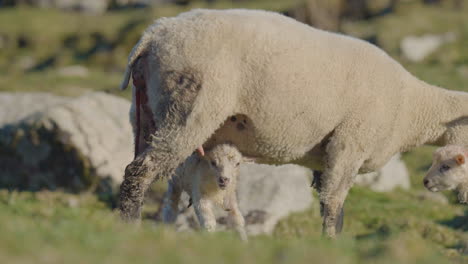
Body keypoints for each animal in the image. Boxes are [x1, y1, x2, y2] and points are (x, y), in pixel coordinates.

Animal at [118, 9, 468, 238]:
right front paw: (331, 243)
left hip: (147, 112)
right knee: (141, 171)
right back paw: (129, 229)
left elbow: (331, 206)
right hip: (190, 106)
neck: (412, 107)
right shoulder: (349, 144)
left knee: (139, 171)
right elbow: (334, 204)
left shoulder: (328, 156)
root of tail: (154, 35)